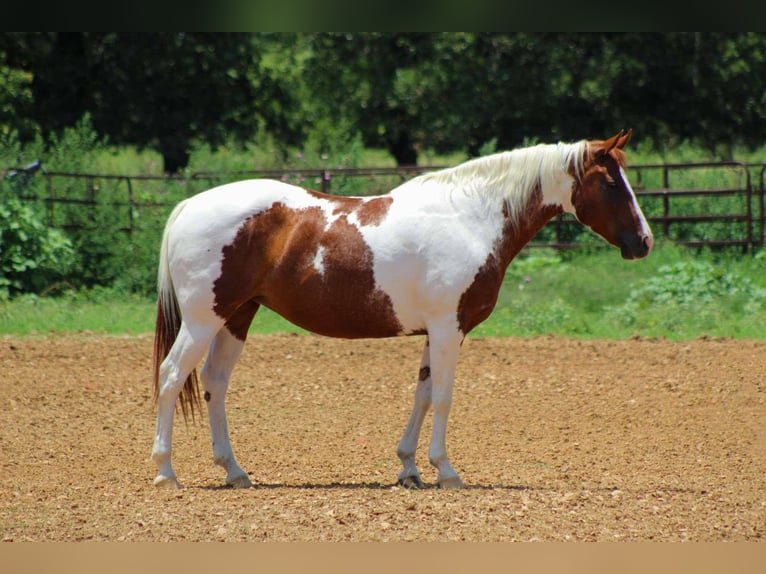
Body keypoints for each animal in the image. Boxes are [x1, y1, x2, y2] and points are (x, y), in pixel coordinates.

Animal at [151, 129, 652, 490]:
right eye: (612, 184)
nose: (644, 242)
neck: (470, 218)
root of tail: (188, 205)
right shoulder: (449, 328)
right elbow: (444, 396)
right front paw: (446, 471)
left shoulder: (436, 331)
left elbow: (424, 394)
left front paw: (409, 468)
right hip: (203, 320)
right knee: (172, 376)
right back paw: (165, 472)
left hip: (237, 316)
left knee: (215, 383)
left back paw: (234, 471)